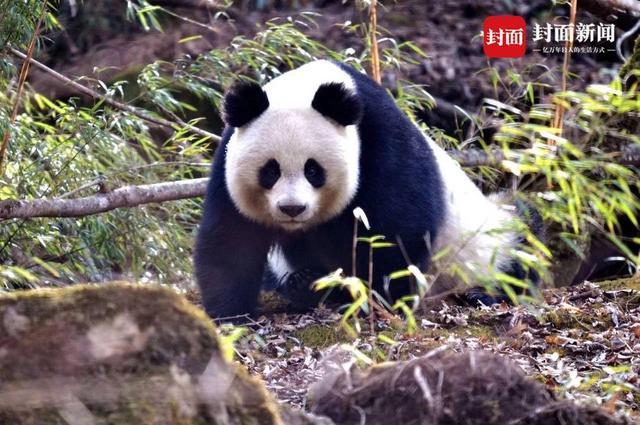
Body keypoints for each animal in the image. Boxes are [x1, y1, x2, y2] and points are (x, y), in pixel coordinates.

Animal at [194, 60, 540, 318]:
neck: (309, 88)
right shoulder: (228, 161)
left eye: (313, 170)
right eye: (270, 171)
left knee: (522, 241)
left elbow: (397, 229)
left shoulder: (381, 143)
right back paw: (304, 282)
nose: (292, 209)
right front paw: (230, 313)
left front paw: (377, 297)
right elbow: (231, 237)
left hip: (489, 240)